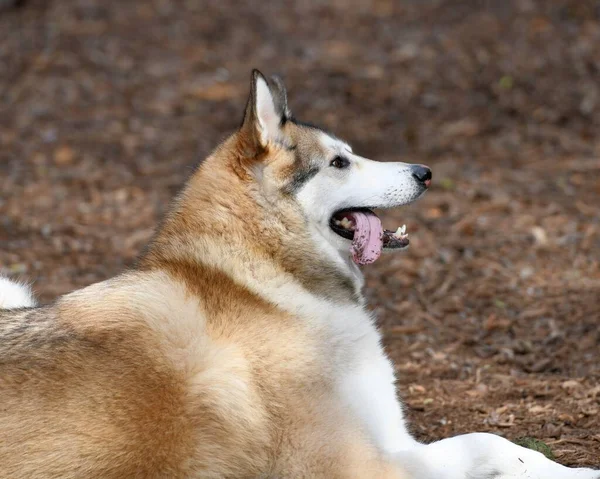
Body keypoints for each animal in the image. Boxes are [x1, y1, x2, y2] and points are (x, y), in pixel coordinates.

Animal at [0, 71, 596, 479]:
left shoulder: (392, 441)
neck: (267, 283)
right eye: (339, 163)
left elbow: (496, 444)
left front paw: (576, 470)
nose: (425, 173)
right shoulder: (356, 464)